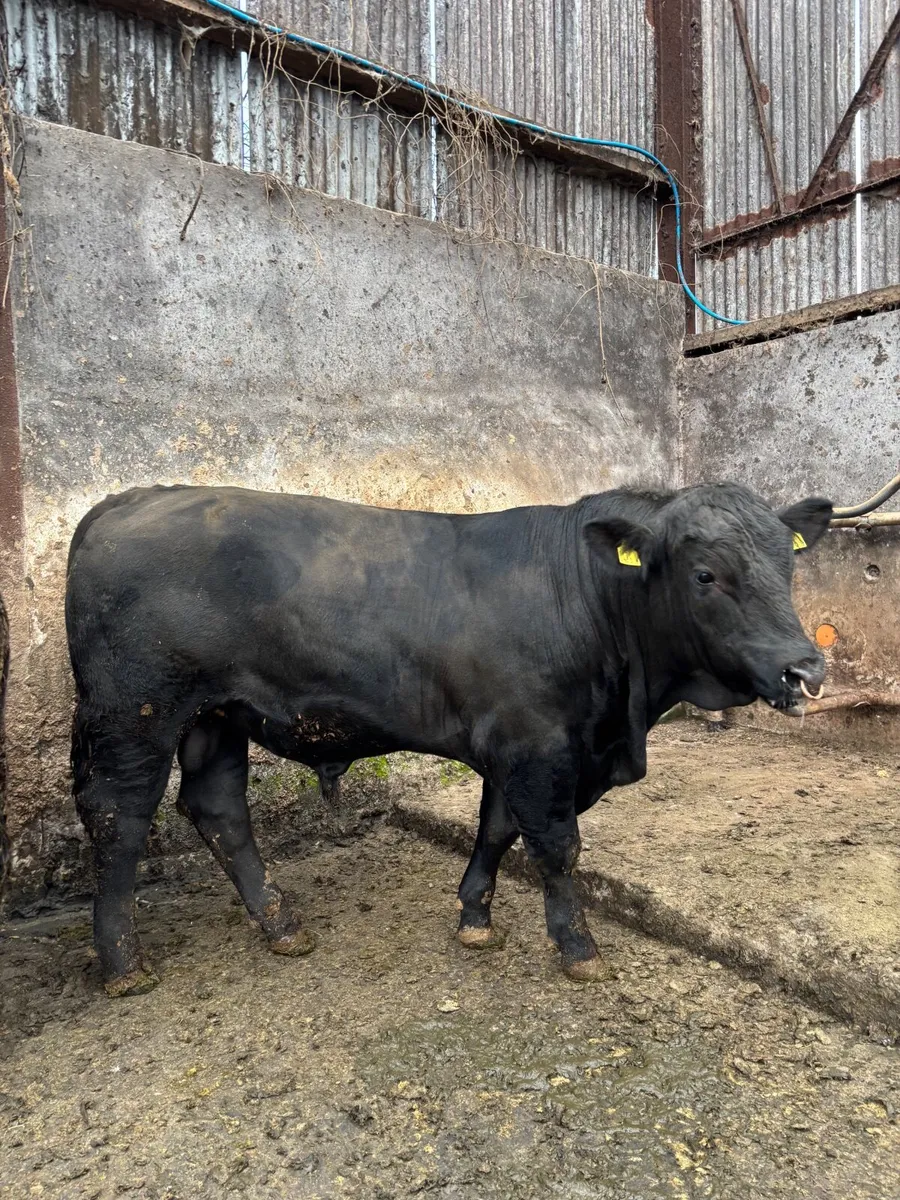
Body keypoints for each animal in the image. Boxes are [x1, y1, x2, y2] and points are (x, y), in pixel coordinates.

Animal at [65, 482, 831, 996]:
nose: (806, 668)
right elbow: (556, 847)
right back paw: (124, 961)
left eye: (789, 567)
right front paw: (577, 945)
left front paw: (475, 917)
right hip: (136, 712)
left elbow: (496, 830)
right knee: (119, 818)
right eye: (706, 575)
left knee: (218, 808)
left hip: (217, 714)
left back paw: (281, 924)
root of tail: (131, 498)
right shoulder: (539, 746)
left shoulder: (515, 746)